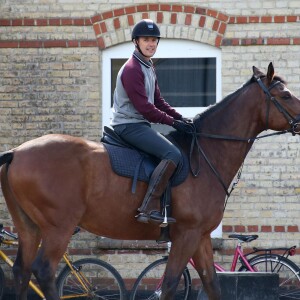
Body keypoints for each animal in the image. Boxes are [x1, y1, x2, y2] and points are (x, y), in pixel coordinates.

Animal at [0, 62, 300, 298]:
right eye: (285, 95)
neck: (205, 152)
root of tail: (17, 152)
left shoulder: (200, 237)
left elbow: (212, 284)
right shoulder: (186, 235)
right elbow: (169, 284)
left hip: (30, 229)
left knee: (21, 272)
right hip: (58, 228)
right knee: (44, 271)